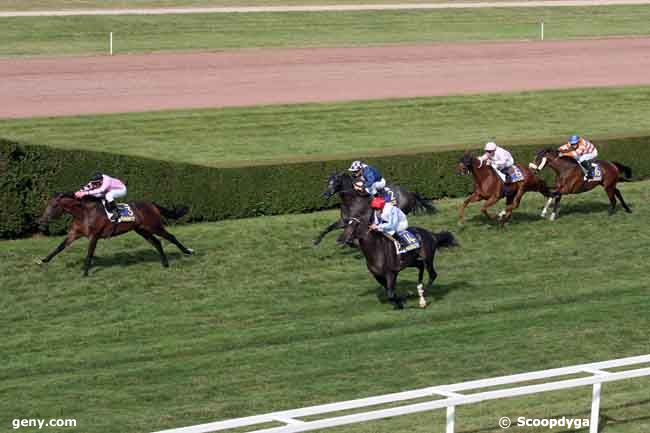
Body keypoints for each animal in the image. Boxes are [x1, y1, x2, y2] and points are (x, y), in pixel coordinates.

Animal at [37, 193, 192, 276]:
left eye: (54, 205)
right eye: (47, 204)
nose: (42, 221)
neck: (84, 213)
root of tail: (152, 204)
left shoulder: (94, 236)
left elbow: (89, 254)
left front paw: (85, 272)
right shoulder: (75, 233)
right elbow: (59, 247)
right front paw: (43, 260)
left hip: (154, 226)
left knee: (171, 237)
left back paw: (188, 251)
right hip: (142, 230)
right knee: (157, 242)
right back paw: (165, 263)